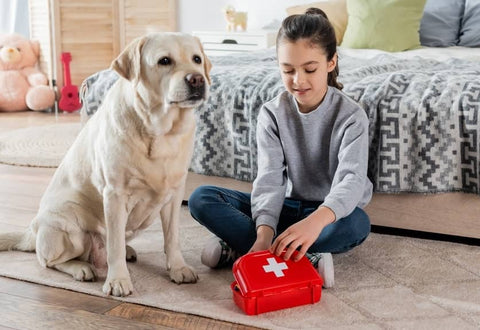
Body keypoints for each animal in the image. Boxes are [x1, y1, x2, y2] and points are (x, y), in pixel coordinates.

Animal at [0, 32, 212, 298]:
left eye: (197, 59)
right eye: (165, 61)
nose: (197, 79)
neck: (161, 131)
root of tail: (32, 231)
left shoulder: (175, 194)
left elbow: (172, 237)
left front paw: (178, 268)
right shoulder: (115, 194)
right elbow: (115, 248)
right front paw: (118, 280)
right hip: (70, 227)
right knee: (49, 261)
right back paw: (82, 268)